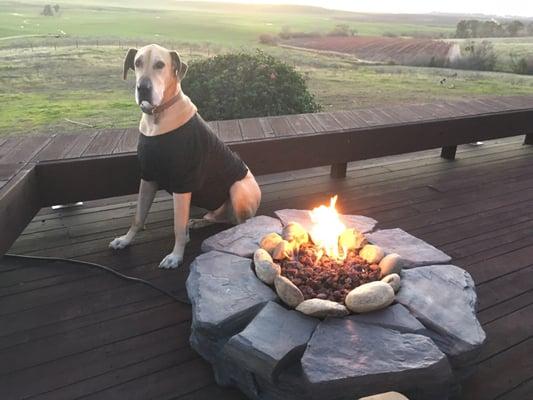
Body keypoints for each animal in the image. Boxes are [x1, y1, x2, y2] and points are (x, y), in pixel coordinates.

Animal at [110, 43, 262, 268]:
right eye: (137, 63)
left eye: (160, 65)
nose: (143, 88)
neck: (158, 116)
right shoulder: (147, 177)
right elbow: (138, 216)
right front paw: (125, 240)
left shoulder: (182, 183)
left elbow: (178, 226)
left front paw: (175, 256)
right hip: (218, 208)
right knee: (223, 219)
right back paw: (200, 221)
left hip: (238, 189)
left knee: (241, 222)